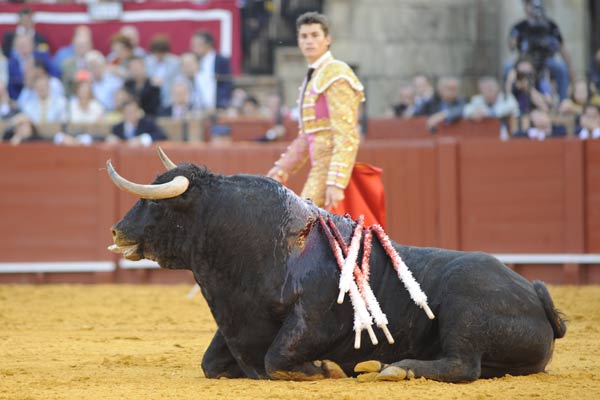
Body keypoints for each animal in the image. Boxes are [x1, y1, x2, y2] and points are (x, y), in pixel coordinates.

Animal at [106, 155, 568, 382]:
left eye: (155, 203)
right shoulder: (237, 322)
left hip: (465, 306)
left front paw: (324, 369)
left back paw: (393, 369)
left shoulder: (315, 318)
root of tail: (534, 292)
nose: (117, 229)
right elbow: (212, 364)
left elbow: (277, 358)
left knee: (462, 365)